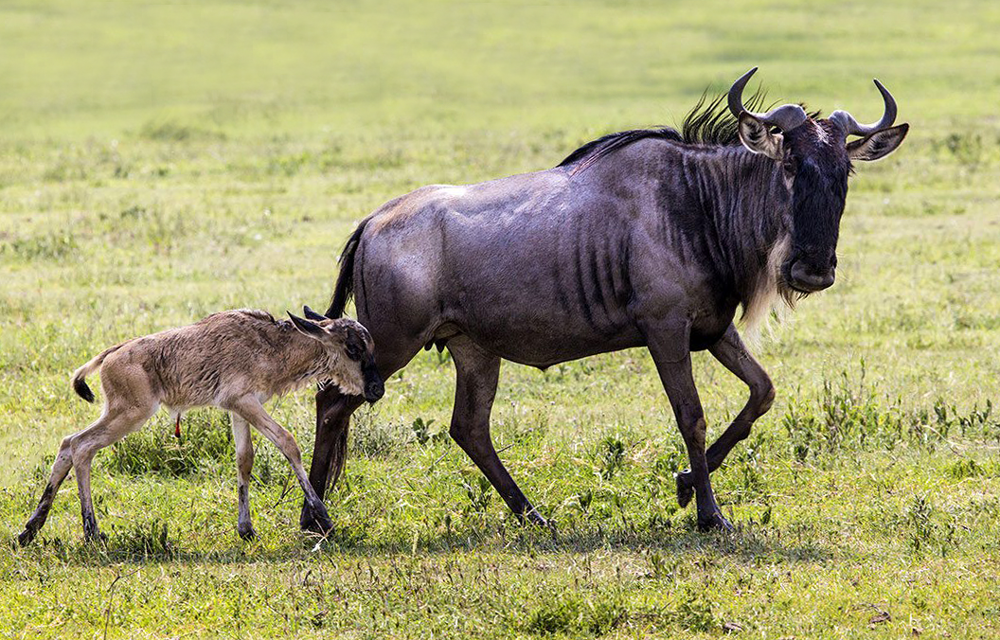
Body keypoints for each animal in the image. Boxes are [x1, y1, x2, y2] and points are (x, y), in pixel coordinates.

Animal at [18, 308, 382, 544]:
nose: (377, 389)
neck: (270, 346)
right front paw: (324, 519)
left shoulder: (240, 409)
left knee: (68, 443)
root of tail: (112, 354)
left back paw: (31, 529)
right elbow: (288, 443)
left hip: (118, 412)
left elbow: (244, 460)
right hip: (131, 414)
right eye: (353, 349)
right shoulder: (245, 402)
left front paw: (246, 529)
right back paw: (91, 532)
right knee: (82, 446)